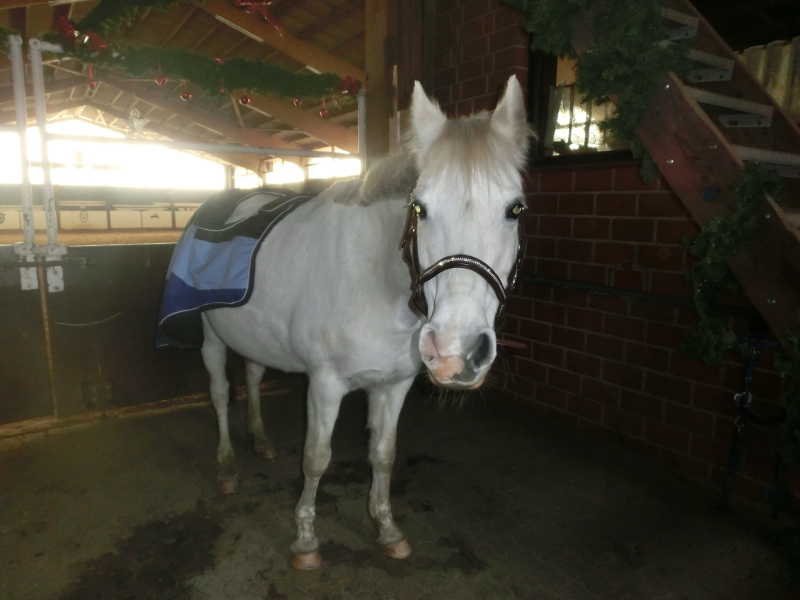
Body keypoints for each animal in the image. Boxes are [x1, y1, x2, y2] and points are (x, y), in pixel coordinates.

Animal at [190, 76, 529, 569]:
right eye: (419, 207)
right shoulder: (325, 384)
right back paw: (227, 467)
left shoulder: (394, 385)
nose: (456, 352)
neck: (376, 284)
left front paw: (387, 530)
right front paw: (305, 541)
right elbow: (316, 458)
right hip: (211, 336)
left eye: (515, 209)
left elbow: (383, 455)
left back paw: (261, 439)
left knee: (251, 375)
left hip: (254, 336)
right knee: (218, 394)